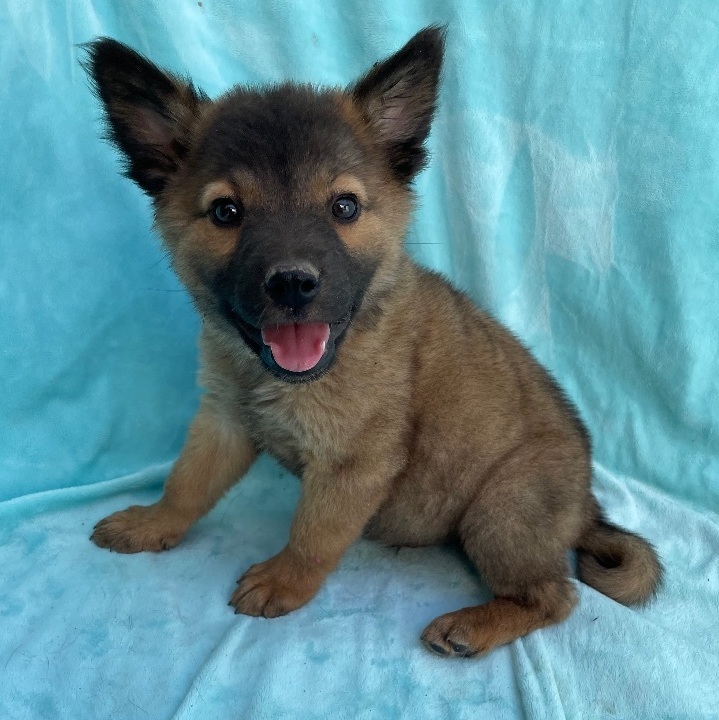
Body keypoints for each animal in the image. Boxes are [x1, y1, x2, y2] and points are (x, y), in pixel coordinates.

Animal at [84, 29, 664, 660]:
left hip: (503, 510)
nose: (293, 284)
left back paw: (473, 626)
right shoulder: (223, 421)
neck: (280, 377)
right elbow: (186, 484)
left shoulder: (352, 463)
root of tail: (584, 507)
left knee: (553, 596)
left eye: (344, 207)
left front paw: (285, 581)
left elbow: (313, 533)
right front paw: (152, 523)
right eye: (226, 212)